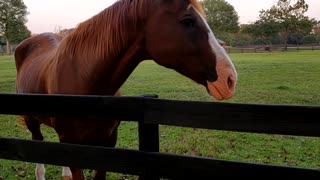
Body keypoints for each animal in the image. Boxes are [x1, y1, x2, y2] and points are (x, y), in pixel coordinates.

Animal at [13, 0, 238, 179]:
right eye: (188, 21)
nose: (229, 79)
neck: (86, 83)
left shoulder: (107, 144)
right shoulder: (74, 147)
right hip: (32, 121)